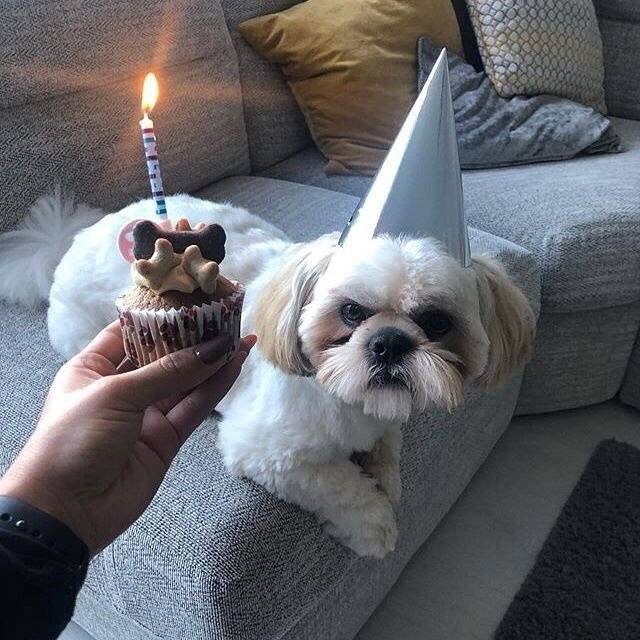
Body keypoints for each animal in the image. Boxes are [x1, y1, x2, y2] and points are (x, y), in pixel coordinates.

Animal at [3, 195, 536, 560]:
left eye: (437, 323)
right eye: (351, 312)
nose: (389, 342)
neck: (347, 399)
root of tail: (67, 241)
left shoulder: (381, 419)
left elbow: (388, 449)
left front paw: (386, 475)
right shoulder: (269, 453)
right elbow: (341, 487)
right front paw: (373, 525)